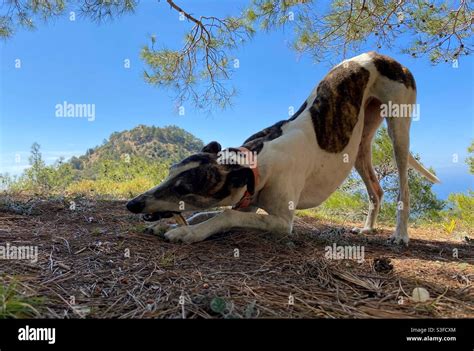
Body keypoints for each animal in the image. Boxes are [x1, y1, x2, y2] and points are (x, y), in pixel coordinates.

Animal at [127, 51, 440, 245]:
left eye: (184, 189)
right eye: (169, 172)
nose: (133, 204)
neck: (257, 161)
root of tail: (383, 56)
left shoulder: (281, 222)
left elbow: (225, 214)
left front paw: (187, 234)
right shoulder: (249, 202)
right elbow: (206, 213)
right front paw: (170, 224)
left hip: (398, 128)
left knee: (403, 186)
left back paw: (400, 234)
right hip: (361, 144)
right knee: (377, 190)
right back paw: (368, 227)